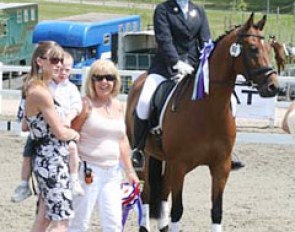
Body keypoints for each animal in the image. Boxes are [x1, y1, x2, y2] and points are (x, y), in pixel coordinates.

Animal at [125, 12, 280, 232]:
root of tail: (138, 81)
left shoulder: (220, 167)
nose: (273, 86)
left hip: (167, 162)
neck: (209, 110)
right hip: (147, 157)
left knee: (162, 191)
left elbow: (216, 211)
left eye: (269, 49)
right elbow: (177, 210)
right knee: (146, 193)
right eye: (253, 48)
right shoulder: (180, 165)